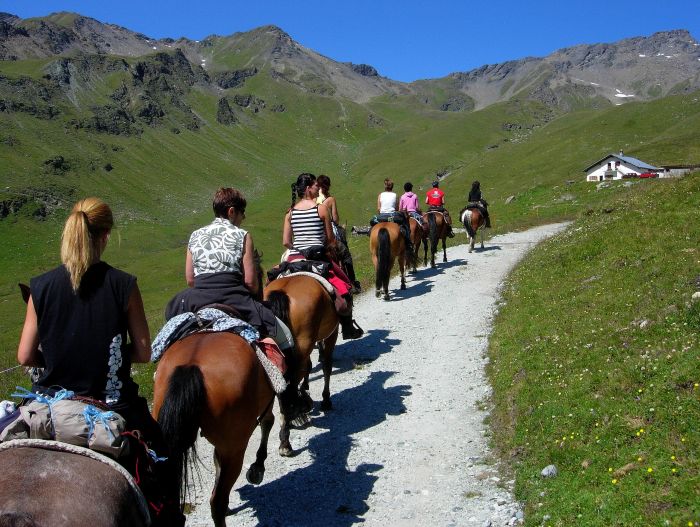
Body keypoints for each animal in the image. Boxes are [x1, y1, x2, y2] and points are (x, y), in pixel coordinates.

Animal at [262, 272, 340, 458]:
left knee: (284, 387)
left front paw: (305, 391)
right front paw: (325, 400)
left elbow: (310, 367)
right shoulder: (331, 334)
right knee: (291, 384)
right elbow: (326, 365)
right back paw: (286, 440)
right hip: (305, 343)